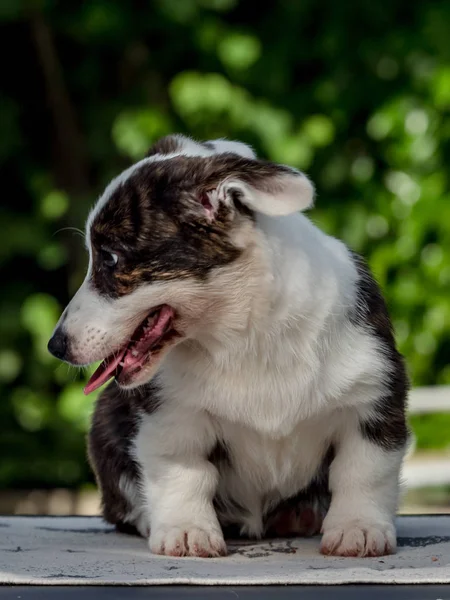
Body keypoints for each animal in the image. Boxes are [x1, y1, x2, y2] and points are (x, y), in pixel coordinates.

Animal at [48, 136, 408, 556]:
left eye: (109, 258)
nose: (55, 345)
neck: (241, 332)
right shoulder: (172, 416)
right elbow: (184, 474)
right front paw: (187, 531)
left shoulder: (372, 400)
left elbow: (362, 473)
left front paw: (358, 528)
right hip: (105, 421)